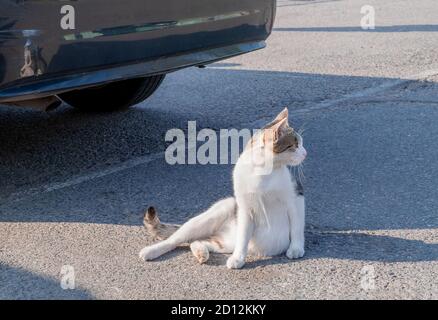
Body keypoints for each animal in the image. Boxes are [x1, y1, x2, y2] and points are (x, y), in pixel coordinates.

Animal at [139, 109, 306, 268]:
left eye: (301, 143)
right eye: (295, 145)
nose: (305, 153)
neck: (262, 172)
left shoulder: (296, 197)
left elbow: (297, 226)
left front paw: (296, 248)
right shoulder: (244, 209)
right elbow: (243, 236)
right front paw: (238, 258)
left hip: (225, 242)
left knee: (198, 241)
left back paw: (201, 252)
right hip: (217, 212)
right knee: (176, 239)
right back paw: (152, 250)